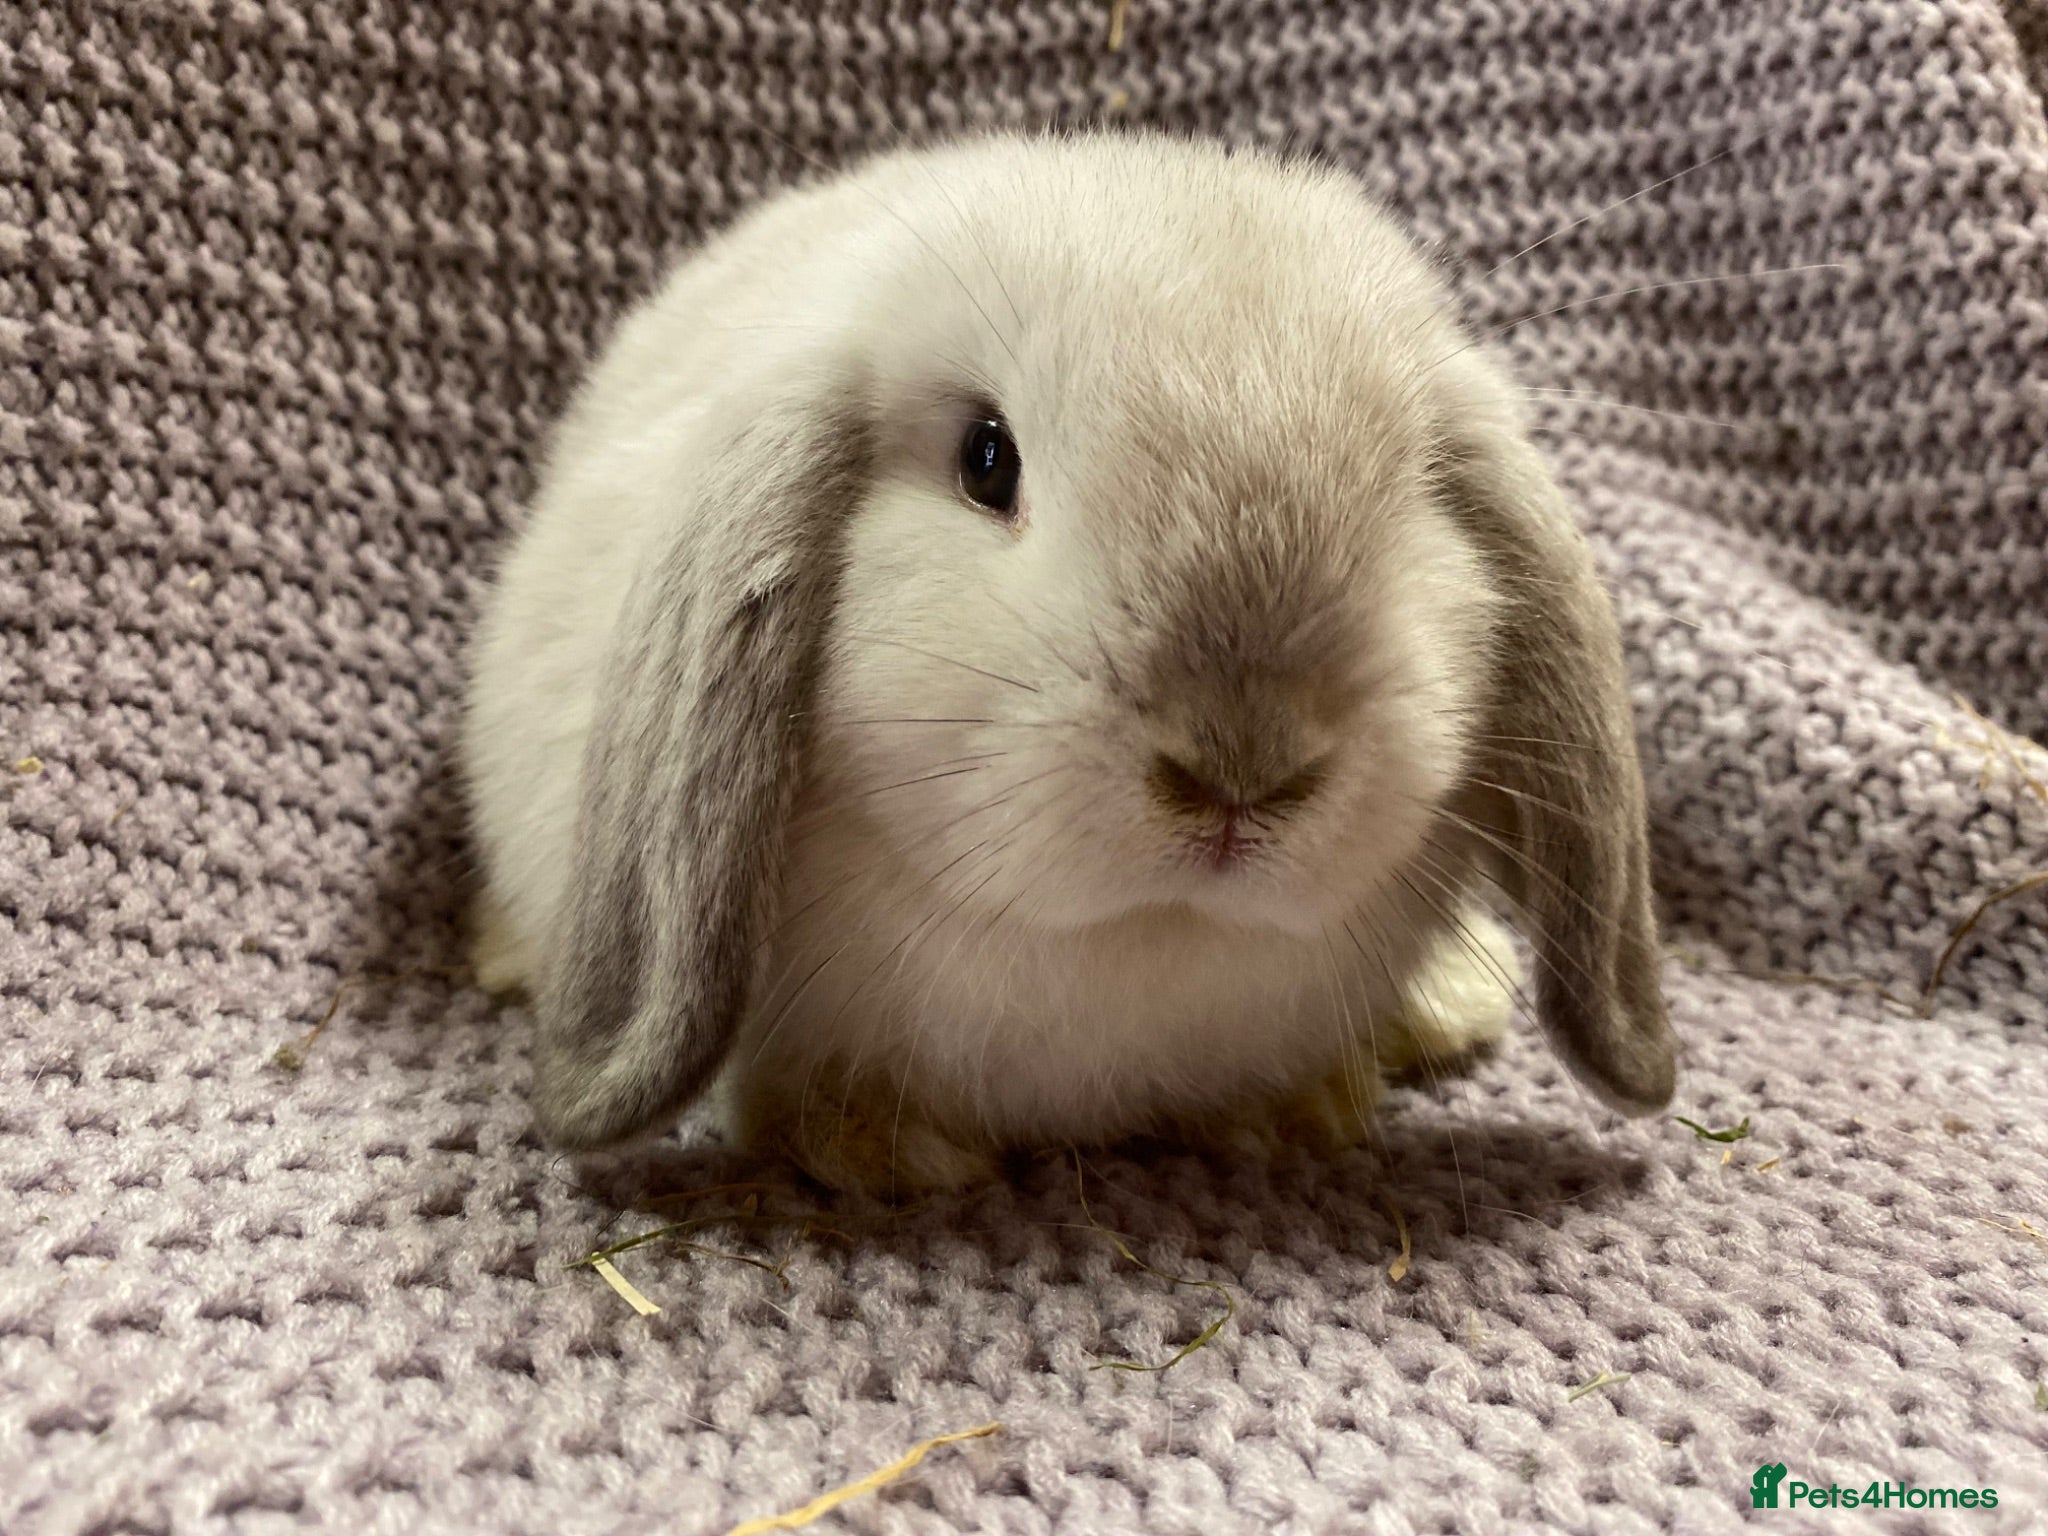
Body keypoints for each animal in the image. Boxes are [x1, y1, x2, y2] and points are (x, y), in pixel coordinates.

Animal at [461, 130, 1677, 1196]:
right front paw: (882, 1151)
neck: (1138, 937)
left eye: (1417, 488)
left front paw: (1296, 1115)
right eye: (985, 461)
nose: (1239, 774)